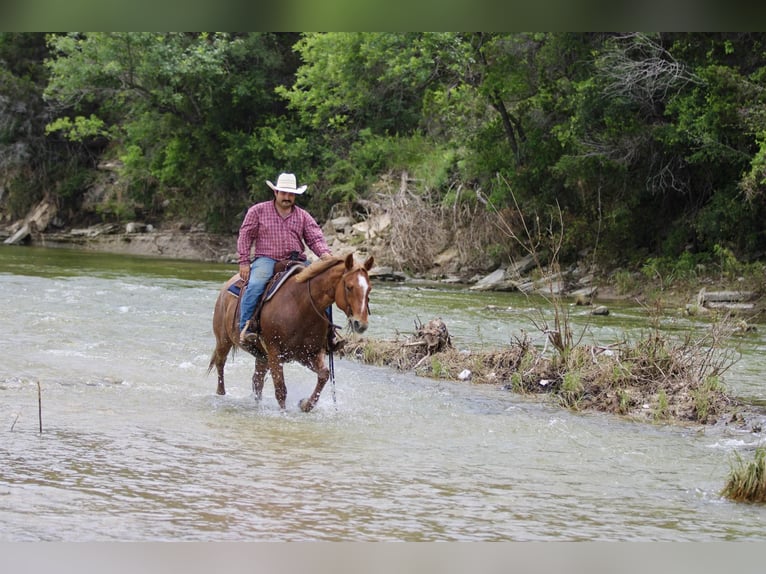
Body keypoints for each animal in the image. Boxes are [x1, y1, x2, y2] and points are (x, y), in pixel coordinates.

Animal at [208, 253, 374, 412]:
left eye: (369, 289)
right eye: (349, 287)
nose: (361, 324)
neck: (300, 304)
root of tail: (226, 287)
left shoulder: (307, 353)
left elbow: (324, 374)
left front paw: (305, 404)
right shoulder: (275, 351)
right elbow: (281, 389)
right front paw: (284, 414)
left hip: (262, 356)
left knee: (257, 381)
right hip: (224, 341)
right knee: (220, 365)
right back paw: (221, 394)